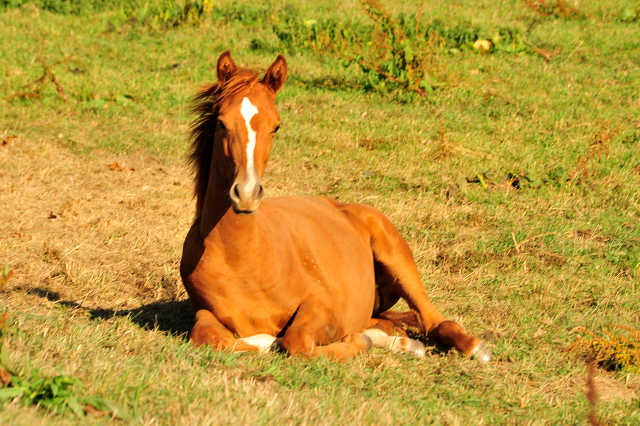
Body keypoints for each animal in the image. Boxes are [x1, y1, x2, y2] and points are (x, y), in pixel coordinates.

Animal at [180, 50, 490, 362]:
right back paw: (402, 341)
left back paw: (473, 346)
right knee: (400, 320)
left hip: (399, 262)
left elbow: (297, 341)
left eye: (275, 126)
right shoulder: (205, 313)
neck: (241, 257)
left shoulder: (323, 308)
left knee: (433, 320)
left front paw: (363, 341)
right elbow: (207, 336)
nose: (246, 194)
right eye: (222, 123)